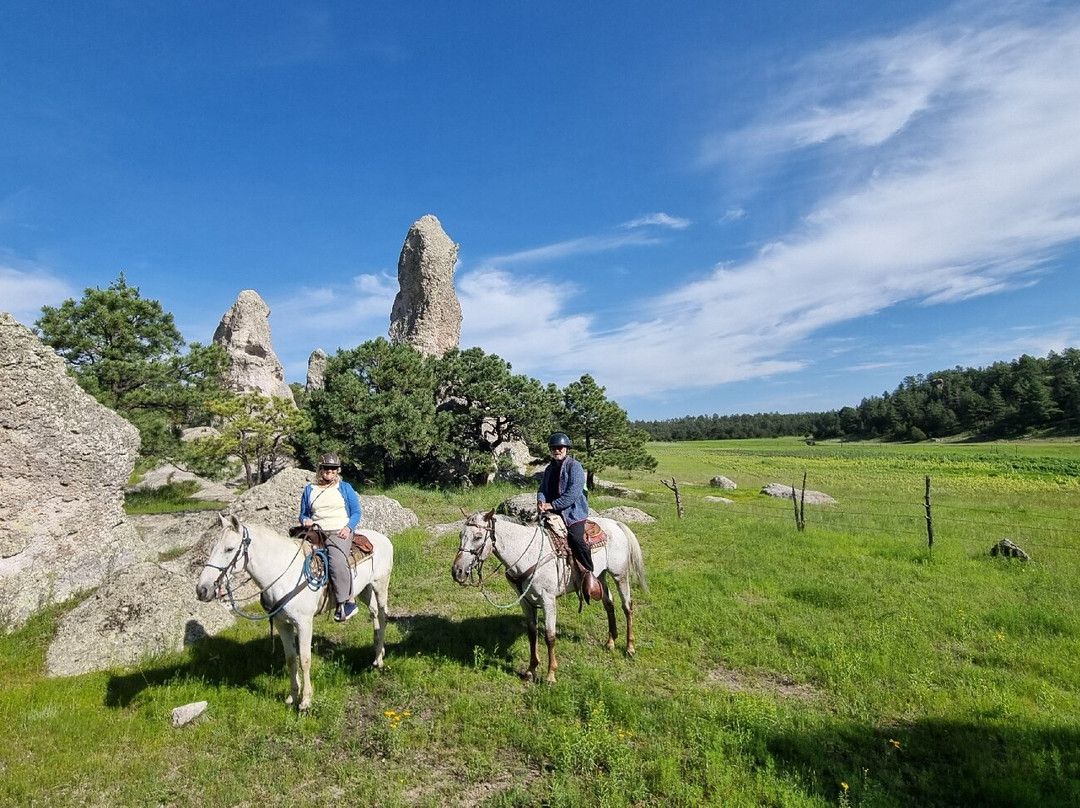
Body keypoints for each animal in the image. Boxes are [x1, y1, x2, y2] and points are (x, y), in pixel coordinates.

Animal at [196, 514, 393, 710]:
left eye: (229, 549)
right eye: (213, 548)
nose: (202, 590)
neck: (283, 574)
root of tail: (383, 538)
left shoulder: (304, 623)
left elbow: (304, 660)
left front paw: (305, 700)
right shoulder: (282, 624)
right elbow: (291, 659)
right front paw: (292, 696)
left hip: (380, 585)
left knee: (382, 616)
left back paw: (380, 660)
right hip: (365, 589)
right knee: (374, 614)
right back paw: (378, 653)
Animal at [451, 509, 647, 684]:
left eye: (477, 537)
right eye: (461, 535)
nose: (457, 571)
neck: (527, 554)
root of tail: (615, 524)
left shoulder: (548, 600)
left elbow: (550, 636)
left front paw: (551, 675)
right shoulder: (525, 601)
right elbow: (532, 633)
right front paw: (530, 671)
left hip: (619, 575)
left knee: (627, 606)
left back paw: (630, 647)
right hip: (600, 575)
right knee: (609, 604)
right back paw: (611, 642)